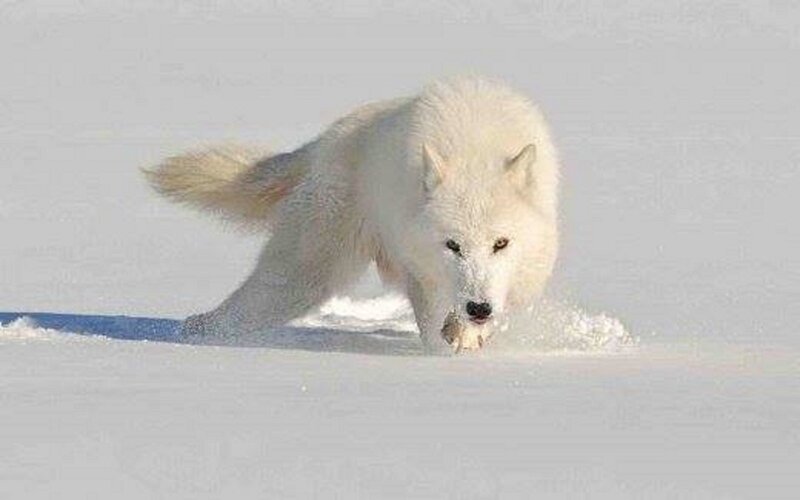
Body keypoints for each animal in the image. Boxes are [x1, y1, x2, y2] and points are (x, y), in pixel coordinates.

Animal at [145, 76, 559, 352]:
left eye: (501, 244)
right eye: (452, 245)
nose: (479, 308)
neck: (473, 149)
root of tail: (324, 141)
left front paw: (468, 334)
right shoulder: (418, 267)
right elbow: (433, 318)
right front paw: (453, 341)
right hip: (306, 277)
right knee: (244, 307)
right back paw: (194, 332)